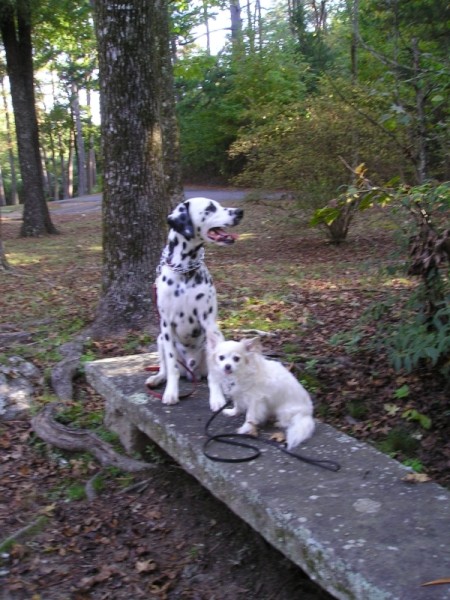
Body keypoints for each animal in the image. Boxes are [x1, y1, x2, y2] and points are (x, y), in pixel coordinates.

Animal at [146, 197, 244, 408]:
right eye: (210, 208)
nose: (240, 212)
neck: (185, 271)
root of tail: (193, 372)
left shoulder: (209, 324)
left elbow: (215, 376)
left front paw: (216, 398)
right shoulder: (166, 325)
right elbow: (172, 366)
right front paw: (171, 393)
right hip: (160, 339)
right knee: (165, 368)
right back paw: (157, 378)